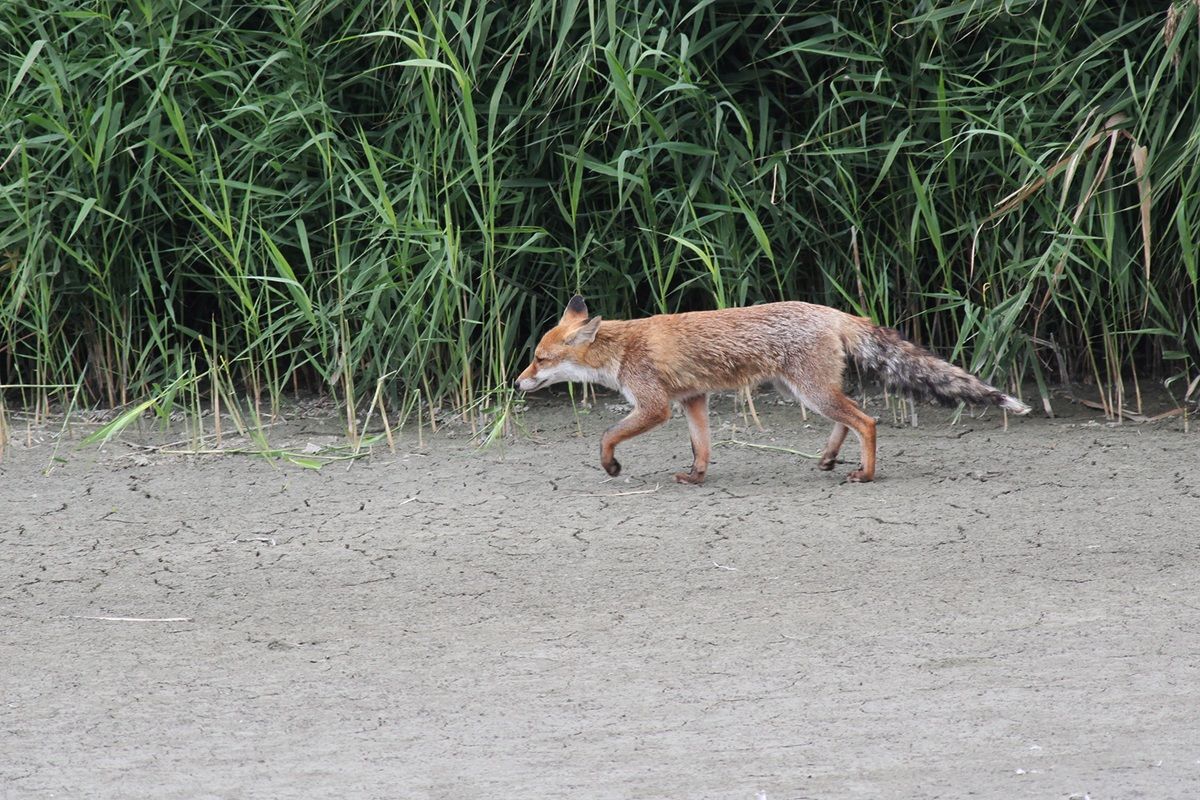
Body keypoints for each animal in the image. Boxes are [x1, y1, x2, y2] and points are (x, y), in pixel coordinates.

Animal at [515, 295, 1030, 484]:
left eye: (539, 358)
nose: (516, 382)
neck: (621, 349)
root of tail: (830, 310)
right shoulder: (693, 399)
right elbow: (702, 445)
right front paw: (697, 477)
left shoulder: (656, 405)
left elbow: (607, 436)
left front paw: (611, 466)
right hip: (802, 392)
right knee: (851, 418)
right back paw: (828, 459)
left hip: (810, 392)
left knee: (867, 420)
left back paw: (864, 474)